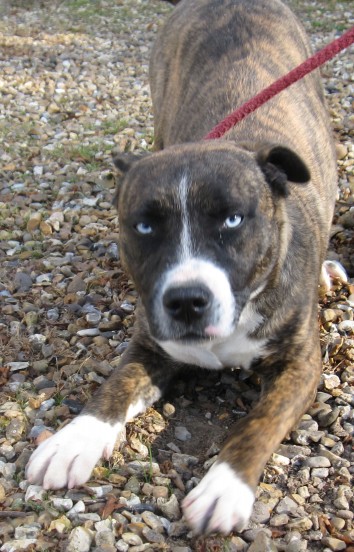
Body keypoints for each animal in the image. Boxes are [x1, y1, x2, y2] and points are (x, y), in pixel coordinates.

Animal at [27, 0, 338, 536]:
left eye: (233, 219)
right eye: (145, 226)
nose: (188, 301)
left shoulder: (300, 365)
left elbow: (260, 422)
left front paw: (225, 485)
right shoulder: (150, 344)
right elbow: (114, 387)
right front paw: (73, 439)